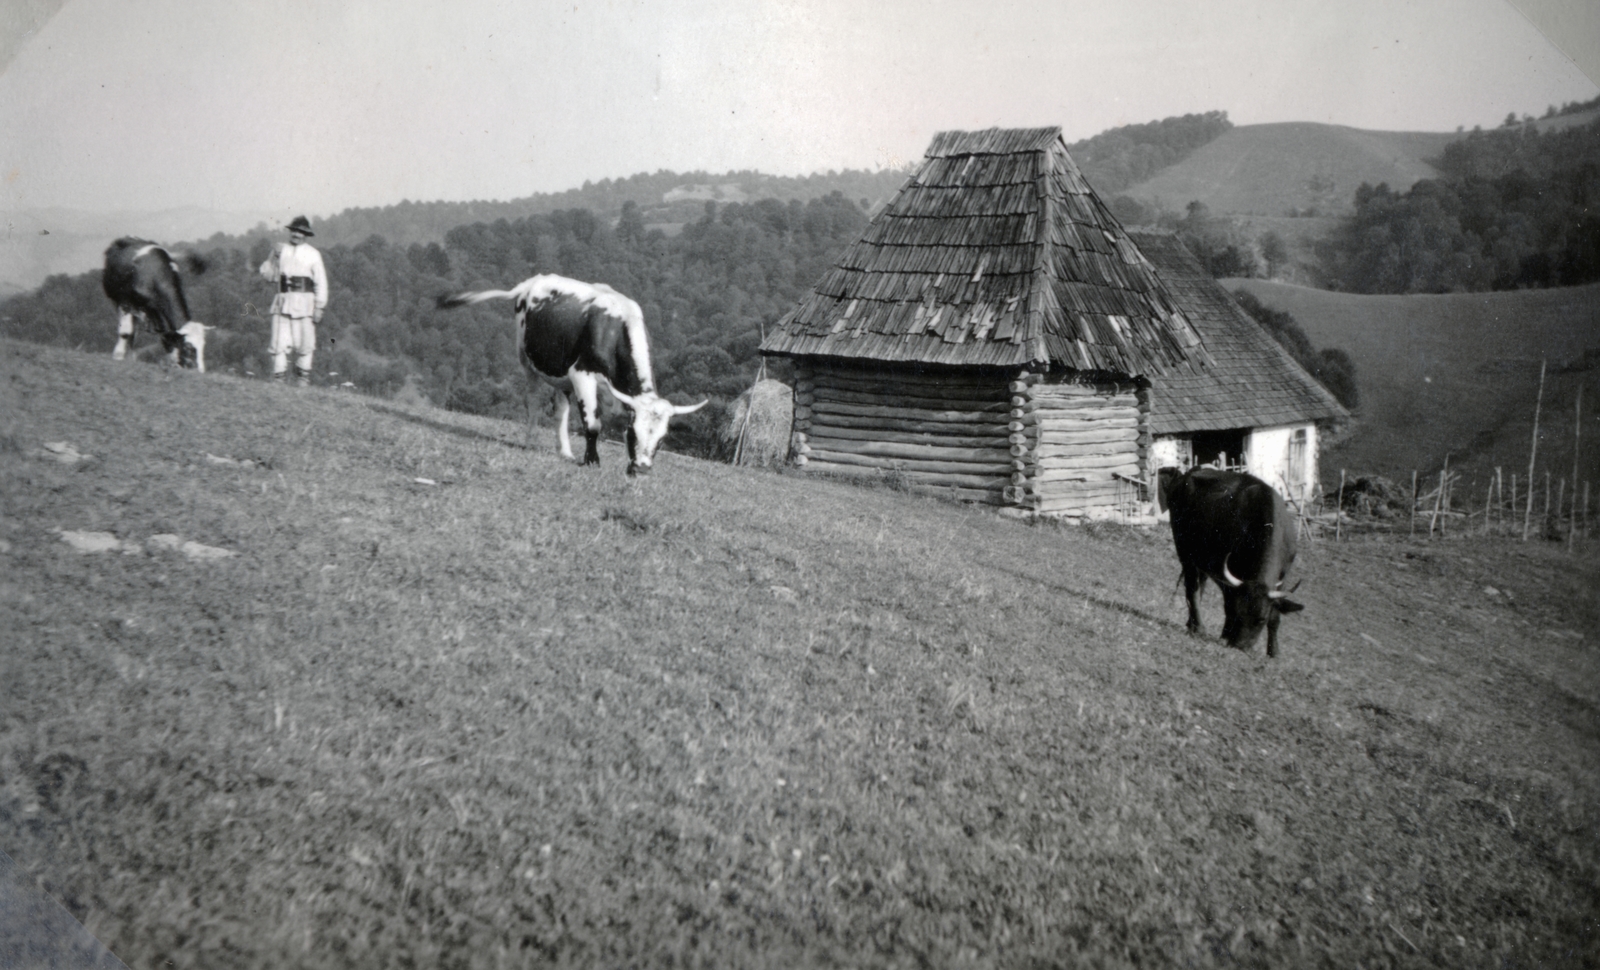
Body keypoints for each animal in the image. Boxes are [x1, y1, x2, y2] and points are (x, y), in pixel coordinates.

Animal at [102, 237, 210, 370]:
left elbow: (167, 335)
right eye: (188, 347)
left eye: (203, 346)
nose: (199, 370)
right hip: (116, 297)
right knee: (129, 330)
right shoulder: (126, 301)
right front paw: (118, 355)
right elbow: (125, 331)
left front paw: (173, 360)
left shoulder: (156, 309)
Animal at [436, 275, 707, 475]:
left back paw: (564, 451)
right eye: (634, 433)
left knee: (560, 409)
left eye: (661, 439)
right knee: (533, 401)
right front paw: (592, 461)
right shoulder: (582, 375)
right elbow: (593, 424)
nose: (641, 469)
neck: (615, 330)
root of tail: (532, 282)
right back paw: (531, 440)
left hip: (560, 375)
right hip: (527, 361)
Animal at [1160, 466, 1305, 657]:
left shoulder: (1283, 575)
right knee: (1191, 587)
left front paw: (1274, 652)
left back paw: (1191, 624)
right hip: (1185, 551)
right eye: (1239, 614)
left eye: (1261, 619)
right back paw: (1199, 627)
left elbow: (1275, 615)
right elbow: (1228, 606)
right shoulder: (1230, 576)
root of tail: (1187, 474)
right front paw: (1226, 635)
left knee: (1200, 585)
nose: (1241, 646)